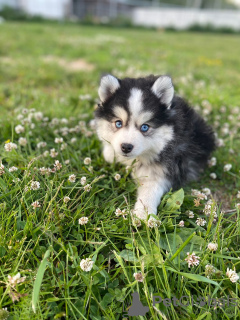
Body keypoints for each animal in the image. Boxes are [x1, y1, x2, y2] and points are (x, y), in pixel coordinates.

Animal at [94, 74, 216, 220]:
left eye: (145, 127)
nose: (126, 147)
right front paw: (111, 152)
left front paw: (143, 214)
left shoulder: (167, 168)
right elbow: (108, 153)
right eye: (118, 123)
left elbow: (150, 191)